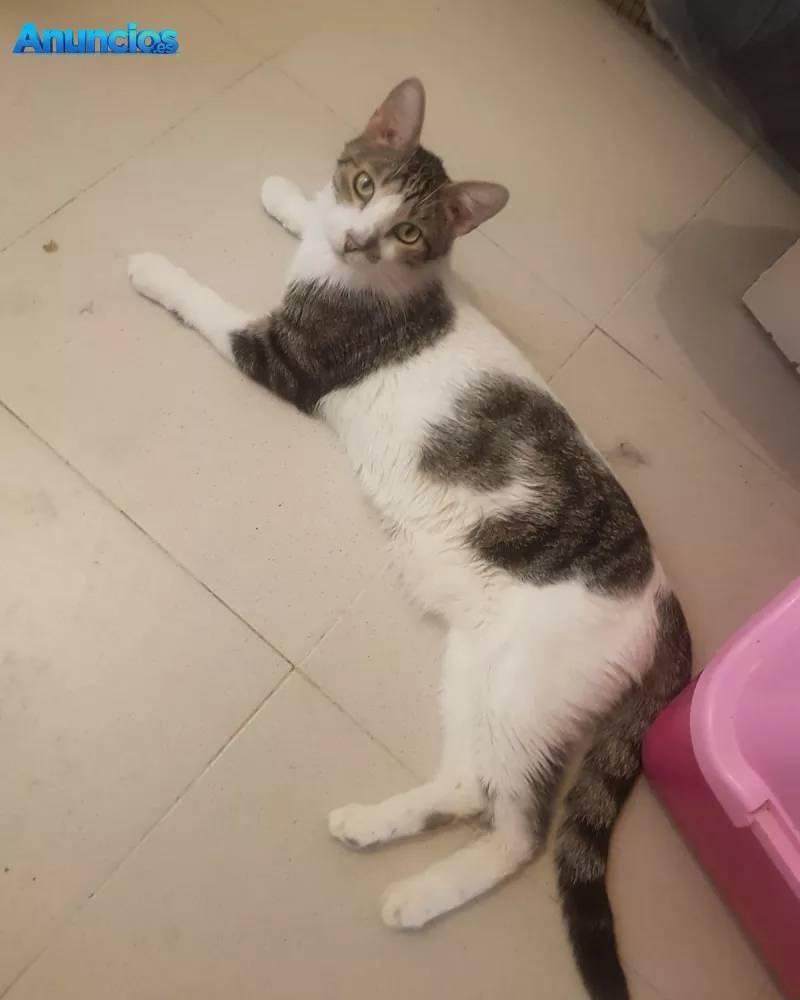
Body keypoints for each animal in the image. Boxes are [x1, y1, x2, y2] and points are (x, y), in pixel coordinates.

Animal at [128, 77, 691, 1000]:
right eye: (366, 188)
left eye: (409, 231)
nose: (358, 238)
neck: (372, 278)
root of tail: (665, 597)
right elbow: (303, 212)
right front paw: (290, 196)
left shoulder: (284, 356)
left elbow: (209, 303)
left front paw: (156, 270)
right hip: (476, 667)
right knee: (469, 786)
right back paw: (374, 824)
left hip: (525, 687)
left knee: (522, 831)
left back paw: (420, 896)